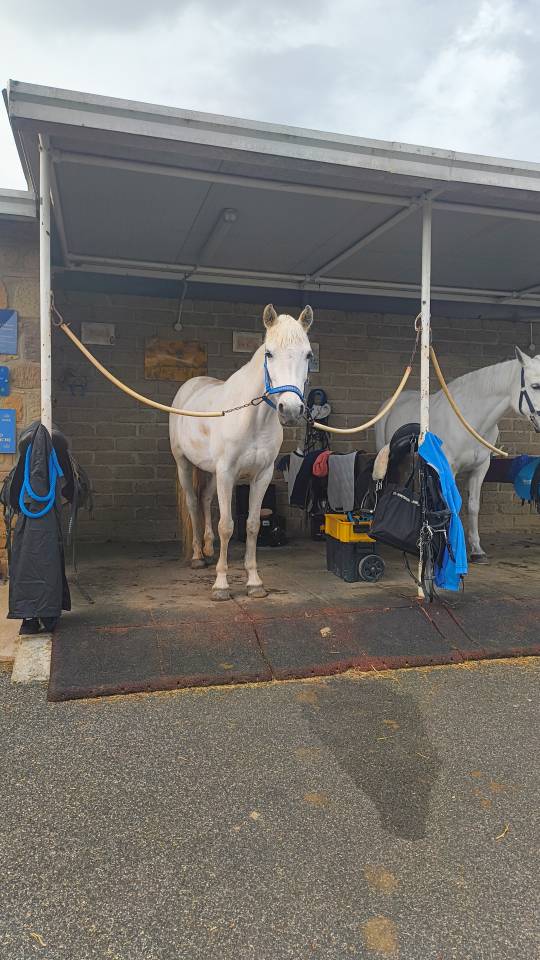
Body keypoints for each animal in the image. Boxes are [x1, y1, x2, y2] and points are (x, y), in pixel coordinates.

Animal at [170, 304, 314, 600]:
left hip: (211, 472)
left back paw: (208, 549)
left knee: (205, 500)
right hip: (184, 464)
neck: (253, 419)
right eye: (269, 353)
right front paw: (221, 585)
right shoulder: (227, 472)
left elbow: (253, 525)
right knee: (192, 503)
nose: (291, 411)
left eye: (308, 354)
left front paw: (254, 583)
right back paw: (198, 556)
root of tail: (189, 387)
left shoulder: (261, 475)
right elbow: (227, 526)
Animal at [376, 346, 540, 562]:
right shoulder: (449, 468)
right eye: (535, 385)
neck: (470, 420)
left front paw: (477, 550)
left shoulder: (481, 468)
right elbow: (452, 505)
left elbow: (473, 506)